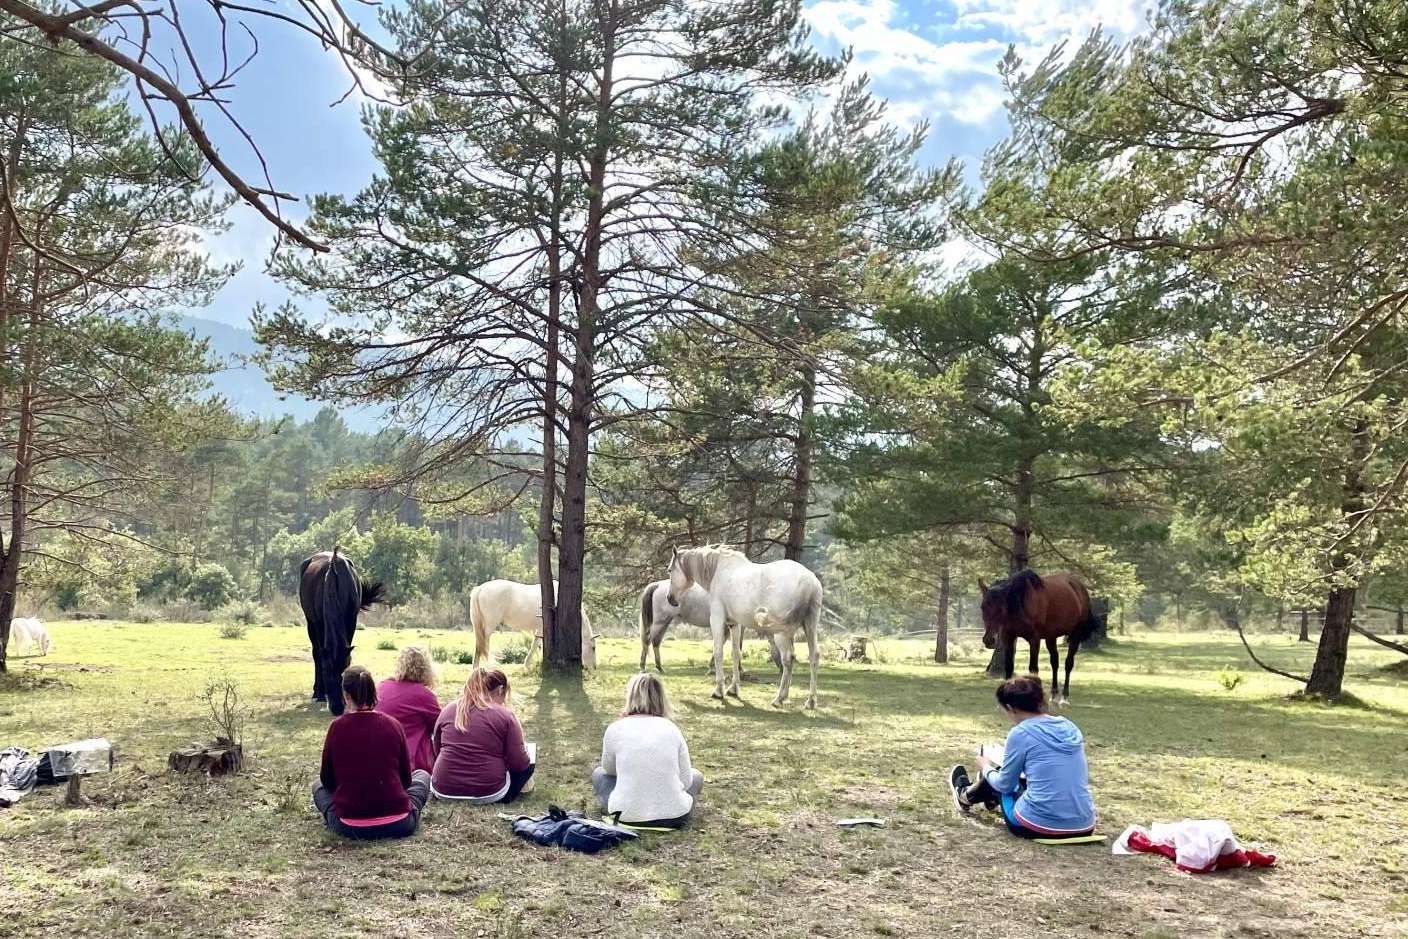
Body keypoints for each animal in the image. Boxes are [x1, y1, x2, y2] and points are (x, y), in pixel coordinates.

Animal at [300, 548, 385, 716]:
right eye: (326, 671)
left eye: (344, 671)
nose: (338, 708)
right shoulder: (319, 623)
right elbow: (320, 655)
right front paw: (320, 694)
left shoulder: (351, 620)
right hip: (310, 622)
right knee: (315, 653)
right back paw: (317, 693)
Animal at [638, 579, 783, 673]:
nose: (783, 668)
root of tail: (657, 585)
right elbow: (736, 645)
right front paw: (739, 668)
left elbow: (727, 643)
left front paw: (713, 666)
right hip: (660, 621)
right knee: (648, 640)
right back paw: (642, 666)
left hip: (665, 621)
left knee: (656, 642)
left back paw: (659, 667)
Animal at [667, 545, 824, 709]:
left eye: (670, 570)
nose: (670, 598)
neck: (719, 570)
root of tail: (809, 582)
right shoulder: (734, 624)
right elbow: (736, 653)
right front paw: (733, 689)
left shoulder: (717, 619)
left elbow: (718, 652)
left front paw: (719, 690)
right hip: (809, 627)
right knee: (814, 656)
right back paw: (810, 701)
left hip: (781, 633)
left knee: (788, 659)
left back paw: (779, 698)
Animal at [978, 569, 1104, 704]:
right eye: (983, 607)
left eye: (1001, 608)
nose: (989, 640)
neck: (1022, 603)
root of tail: (1080, 588)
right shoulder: (1009, 637)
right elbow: (1009, 667)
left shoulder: (1034, 639)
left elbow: (1033, 669)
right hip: (1051, 637)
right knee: (1054, 662)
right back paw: (1053, 695)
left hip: (1075, 635)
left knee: (1068, 663)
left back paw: (1064, 697)